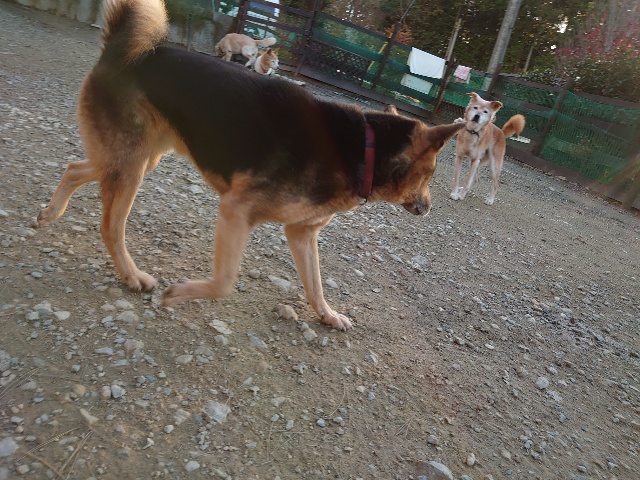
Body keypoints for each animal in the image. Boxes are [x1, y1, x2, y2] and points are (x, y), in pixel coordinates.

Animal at [36, 0, 465, 330]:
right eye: (432, 175)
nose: (429, 207)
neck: (364, 151)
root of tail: (119, 48)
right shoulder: (236, 210)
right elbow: (225, 282)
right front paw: (180, 294)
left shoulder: (301, 233)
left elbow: (316, 284)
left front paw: (328, 315)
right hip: (130, 165)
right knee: (110, 226)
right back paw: (132, 275)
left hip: (137, 159)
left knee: (76, 167)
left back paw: (50, 213)